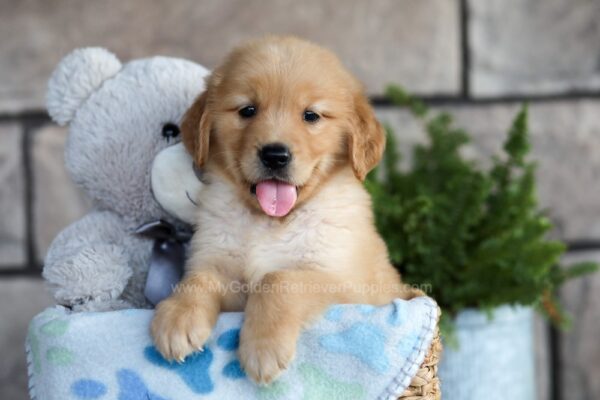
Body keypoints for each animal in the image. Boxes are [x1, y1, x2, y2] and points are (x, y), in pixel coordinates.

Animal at [152, 36, 420, 382]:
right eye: (248, 110)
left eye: (311, 116)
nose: (275, 155)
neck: (270, 221)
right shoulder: (220, 267)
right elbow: (198, 279)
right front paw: (178, 317)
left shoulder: (348, 285)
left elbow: (278, 279)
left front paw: (262, 348)